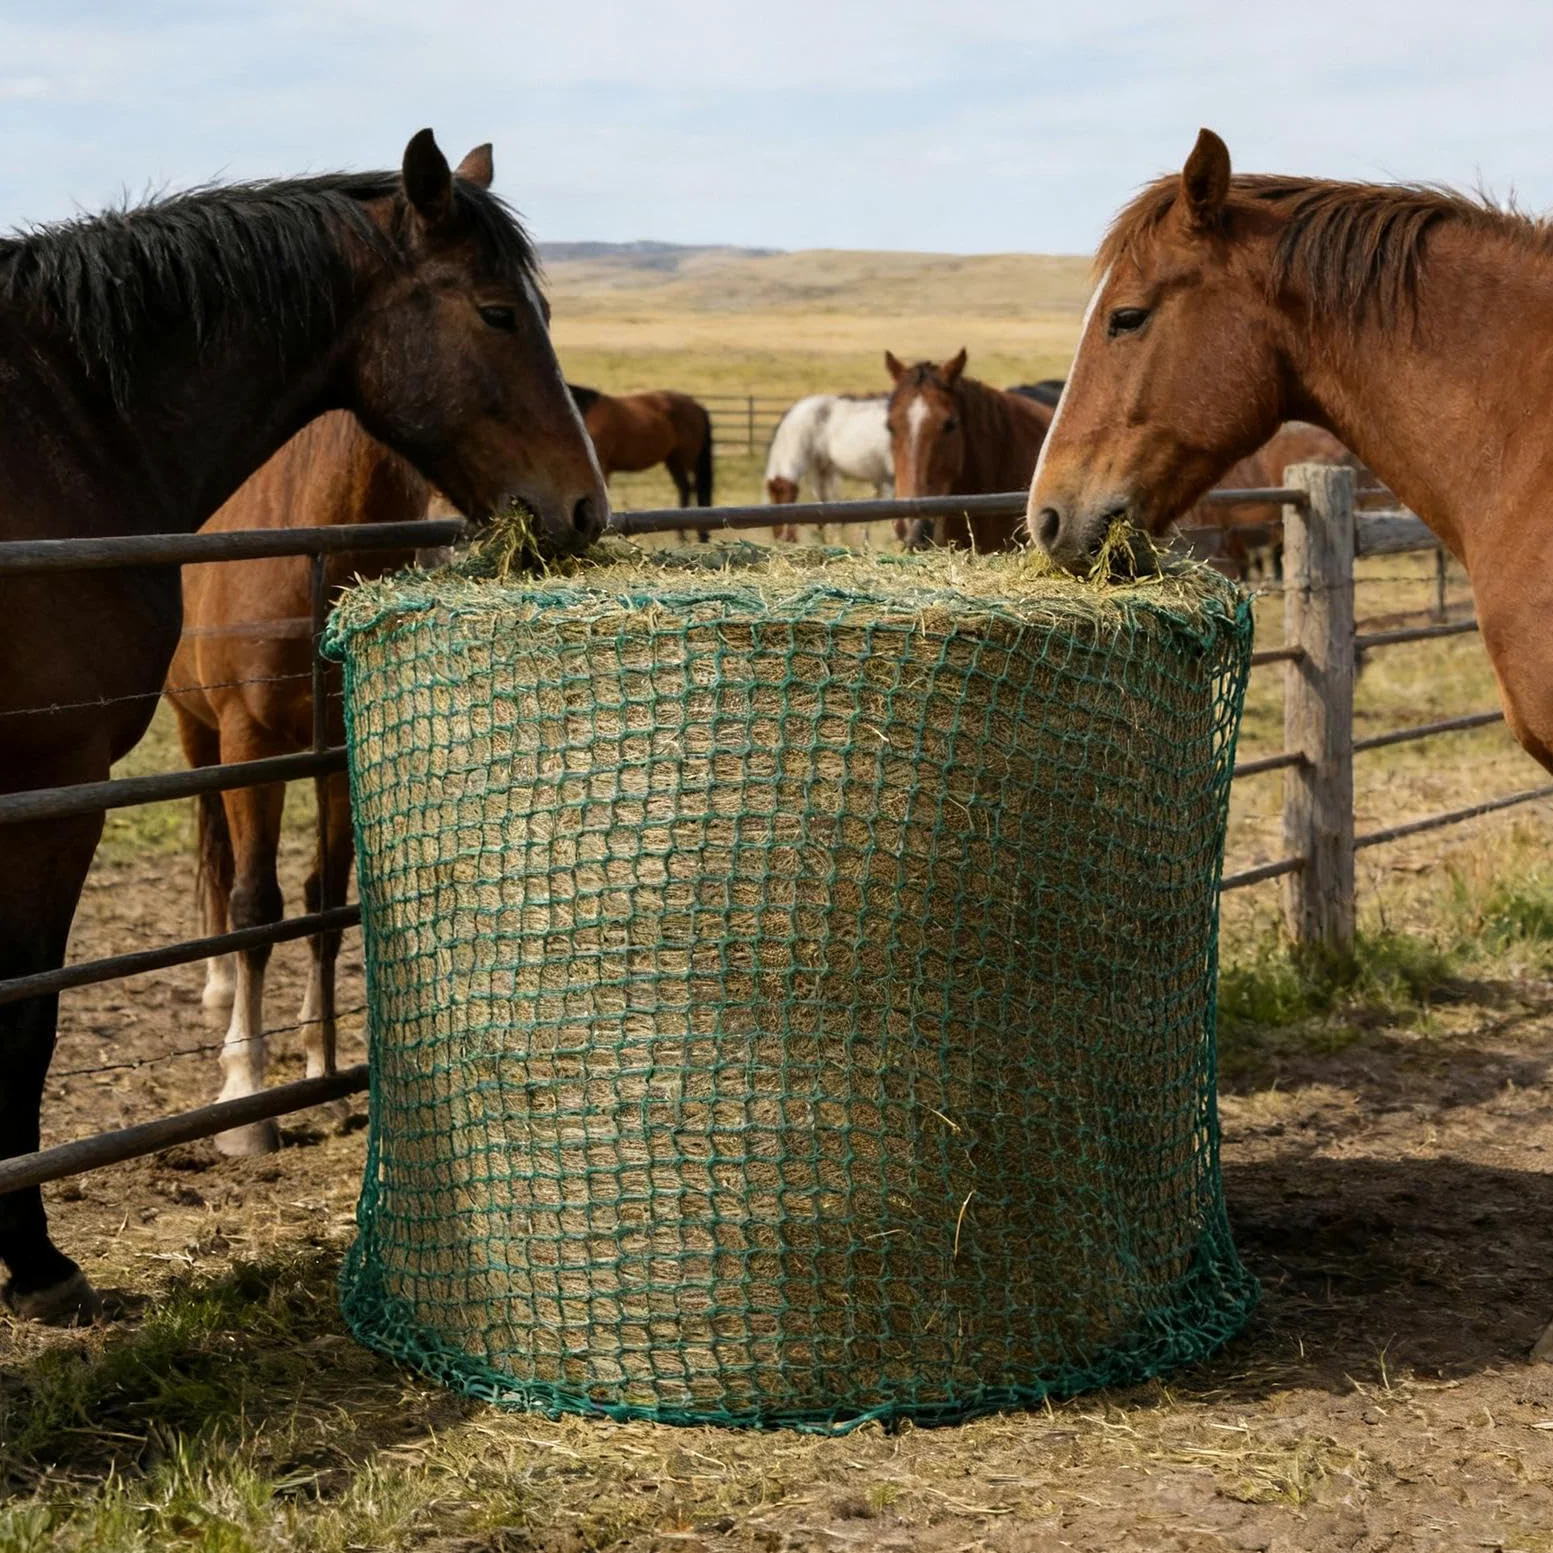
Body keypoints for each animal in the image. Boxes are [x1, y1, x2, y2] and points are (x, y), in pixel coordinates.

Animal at [163, 414, 434, 1157]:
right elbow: (256, 904)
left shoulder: (337, 757)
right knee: (215, 852)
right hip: (198, 732)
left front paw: (323, 1068)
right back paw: (219, 987)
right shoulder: (249, 743)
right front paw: (245, 1096)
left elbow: (328, 905)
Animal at [569, 385, 713, 540]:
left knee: (698, 491)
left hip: (690, 461)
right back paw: (682, 536)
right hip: (674, 461)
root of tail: (697, 406)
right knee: (685, 489)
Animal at [764, 393, 892, 542]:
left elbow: (830, 498)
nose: (782, 537)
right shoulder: (822, 469)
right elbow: (823, 498)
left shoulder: (826, 469)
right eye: (773, 498)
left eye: (779, 498)